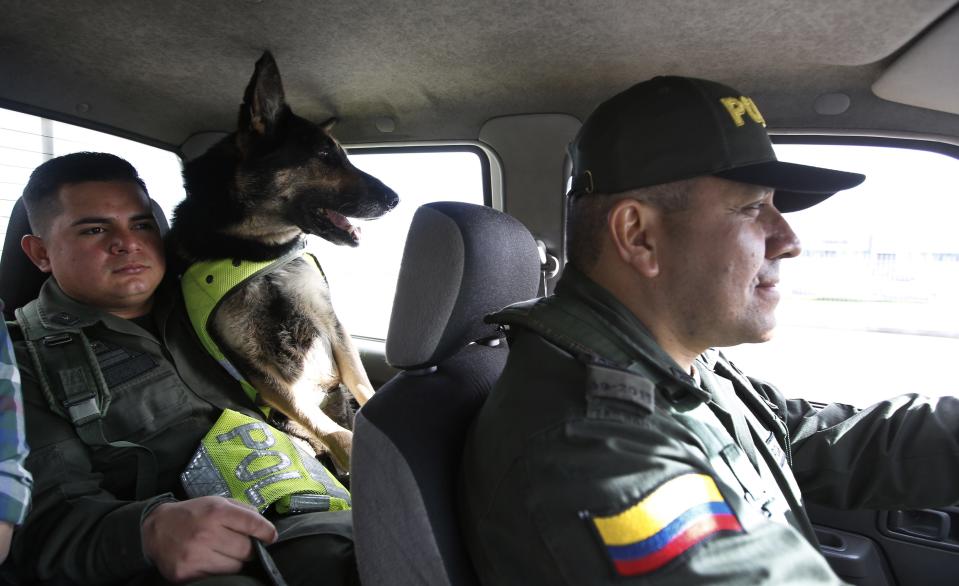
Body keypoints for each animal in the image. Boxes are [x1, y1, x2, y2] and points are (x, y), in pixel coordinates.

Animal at [167, 52, 400, 472]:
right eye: (324, 155)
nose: (395, 199)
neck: (259, 254)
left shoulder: (331, 321)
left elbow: (361, 383)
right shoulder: (252, 363)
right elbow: (317, 419)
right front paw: (352, 449)